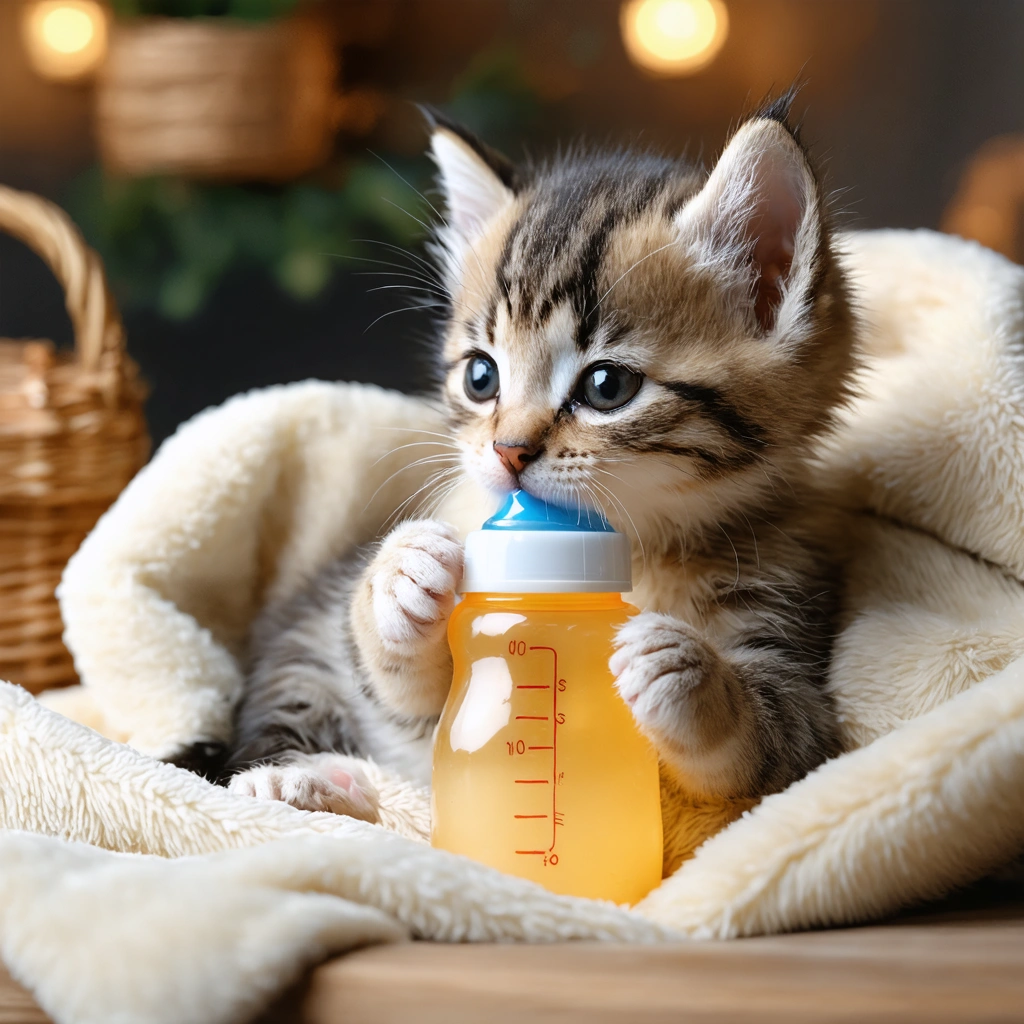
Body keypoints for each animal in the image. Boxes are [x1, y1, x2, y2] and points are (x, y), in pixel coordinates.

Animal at [226, 97, 856, 823]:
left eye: (607, 387)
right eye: (480, 377)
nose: (508, 451)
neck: (637, 546)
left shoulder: (790, 618)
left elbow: (774, 749)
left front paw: (686, 672)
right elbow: (414, 700)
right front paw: (400, 578)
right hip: (303, 638)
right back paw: (297, 780)